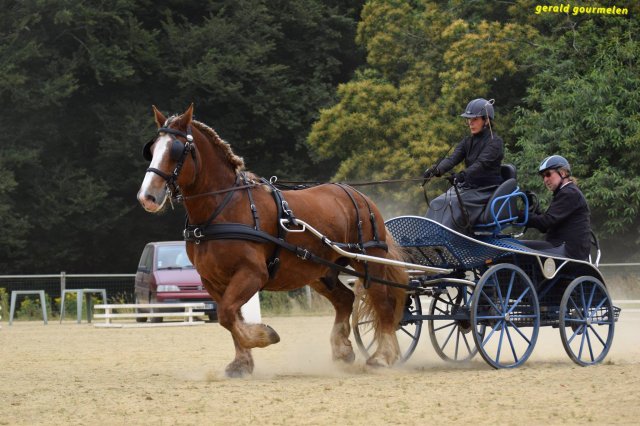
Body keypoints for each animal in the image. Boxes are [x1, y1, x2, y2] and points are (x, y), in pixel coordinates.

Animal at [137, 105, 408, 378]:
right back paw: (343, 351)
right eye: (152, 149)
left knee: (384, 303)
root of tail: (359, 195)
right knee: (345, 300)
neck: (223, 207)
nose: (146, 196)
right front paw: (241, 363)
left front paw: (263, 336)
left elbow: (227, 314)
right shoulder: (213, 280)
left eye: (176, 149)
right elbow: (230, 317)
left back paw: (381, 357)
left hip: (369, 261)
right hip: (320, 270)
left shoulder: (253, 273)